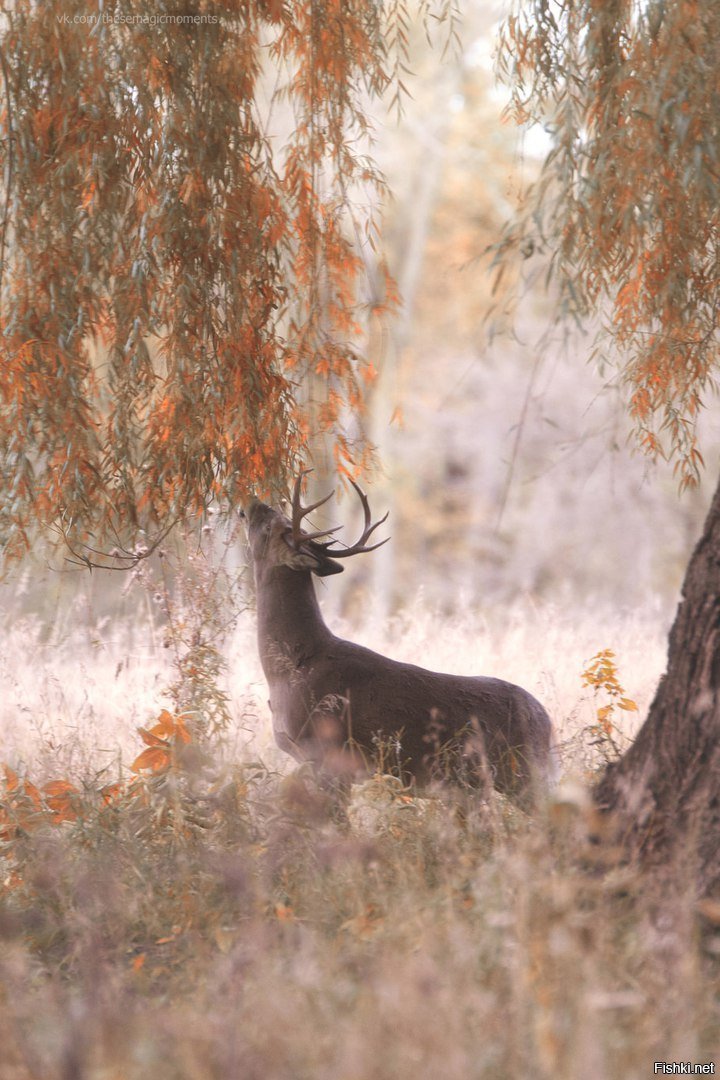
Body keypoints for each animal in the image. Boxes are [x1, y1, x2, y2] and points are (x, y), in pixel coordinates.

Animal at [248, 473, 557, 812]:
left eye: (273, 528)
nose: (253, 501)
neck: (292, 666)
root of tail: (546, 720)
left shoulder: (329, 754)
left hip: (524, 772)